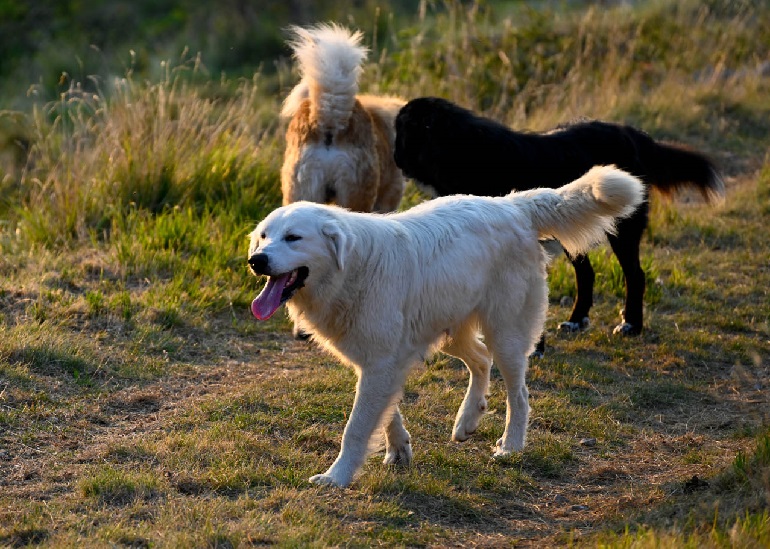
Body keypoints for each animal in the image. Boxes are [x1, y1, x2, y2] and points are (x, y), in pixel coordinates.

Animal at [246, 165, 640, 486]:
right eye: (264, 236)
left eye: (293, 238)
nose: (256, 260)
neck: (352, 269)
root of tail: (512, 206)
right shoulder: (379, 362)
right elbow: (386, 413)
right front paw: (399, 449)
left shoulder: (380, 364)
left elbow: (356, 428)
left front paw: (337, 477)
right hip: (450, 329)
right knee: (481, 360)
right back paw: (467, 420)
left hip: (506, 334)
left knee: (519, 394)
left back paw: (510, 446)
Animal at [392, 96, 724, 348]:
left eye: (404, 132)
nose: (394, 158)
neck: (463, 151)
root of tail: (629, 132)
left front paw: (533, 347)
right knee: (587, 274)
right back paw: (577, 320)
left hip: (623, 229)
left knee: (635, 274)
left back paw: (631, 324)